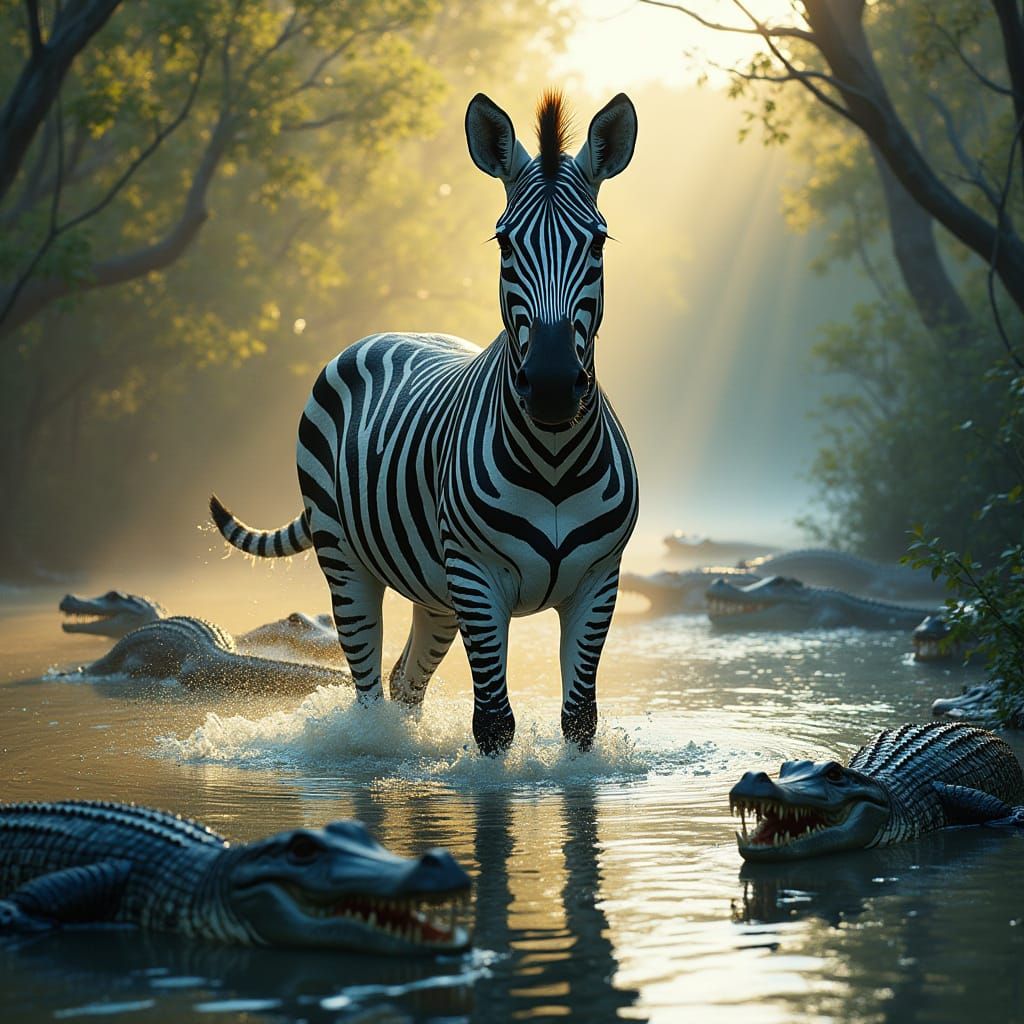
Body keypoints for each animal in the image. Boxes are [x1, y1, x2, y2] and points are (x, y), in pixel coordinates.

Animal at [210, 91, 639, 755]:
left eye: (597, 243)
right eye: (504, 244)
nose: (549, 386)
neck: (553, 457)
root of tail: (387, 332)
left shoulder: (597, 582)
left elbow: (579, 719)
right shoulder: (478, 578)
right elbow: (493, 721)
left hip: (435, 590)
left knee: (404, 682)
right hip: (349, 561)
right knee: (367, 688)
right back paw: (373, 749)